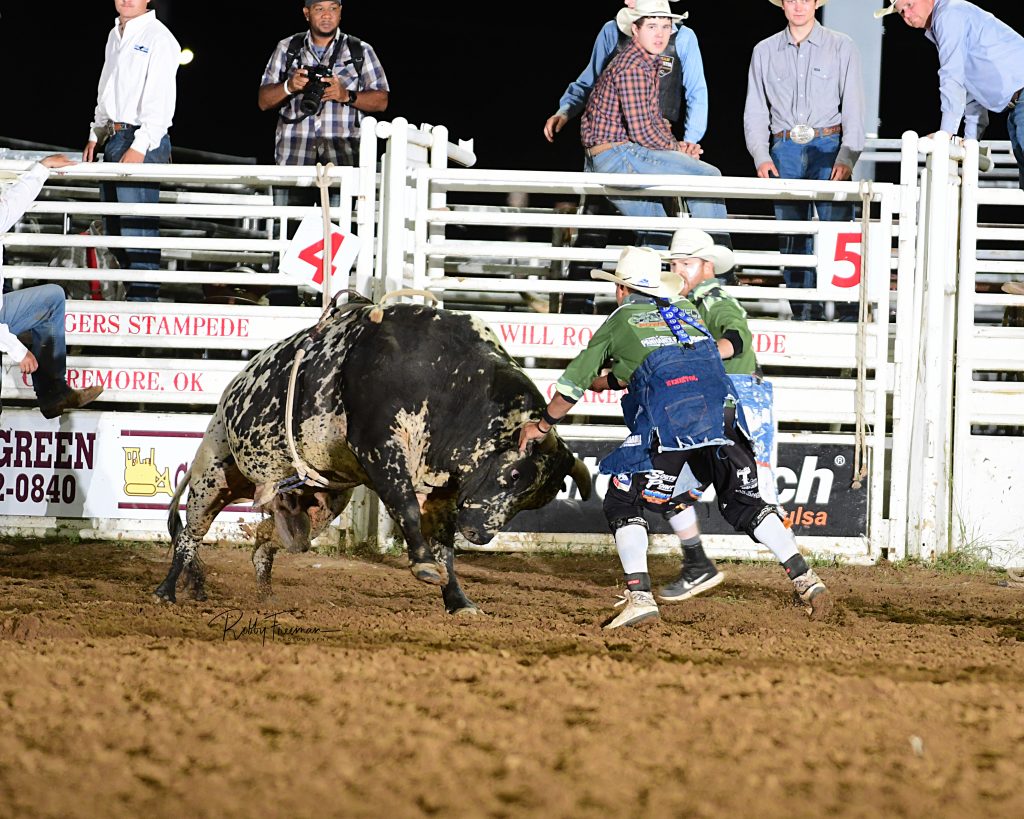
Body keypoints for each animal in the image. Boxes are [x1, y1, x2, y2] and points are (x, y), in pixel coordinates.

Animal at [151, 296, 593, 610]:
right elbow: (406, 508)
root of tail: (230, 392)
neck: (449, 382)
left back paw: (262, 590)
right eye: (514, 475)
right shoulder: (381, 450)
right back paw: (168, 590)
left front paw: (458, 601)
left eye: (531, 500)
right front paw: (424, 567)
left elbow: (446, 548)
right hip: (214, 472)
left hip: (319, 504)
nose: (481, 535)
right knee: (189, 534)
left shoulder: (444, 489)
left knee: (272, 541)